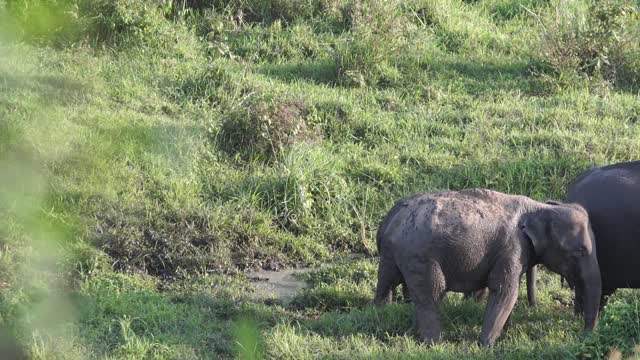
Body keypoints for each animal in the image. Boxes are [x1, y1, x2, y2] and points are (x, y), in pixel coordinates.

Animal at [372, 188, 604, 346]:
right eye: (580, 251)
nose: (583, 335)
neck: (540, 207)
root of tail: (392, 221)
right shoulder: (512, 249)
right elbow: (505, 291)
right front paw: (486, 345)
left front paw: (505, 336)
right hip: (420, 256)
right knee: (431, 293)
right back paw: (435, 343)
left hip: (393, 254)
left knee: (386, 282)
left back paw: (382, 318)